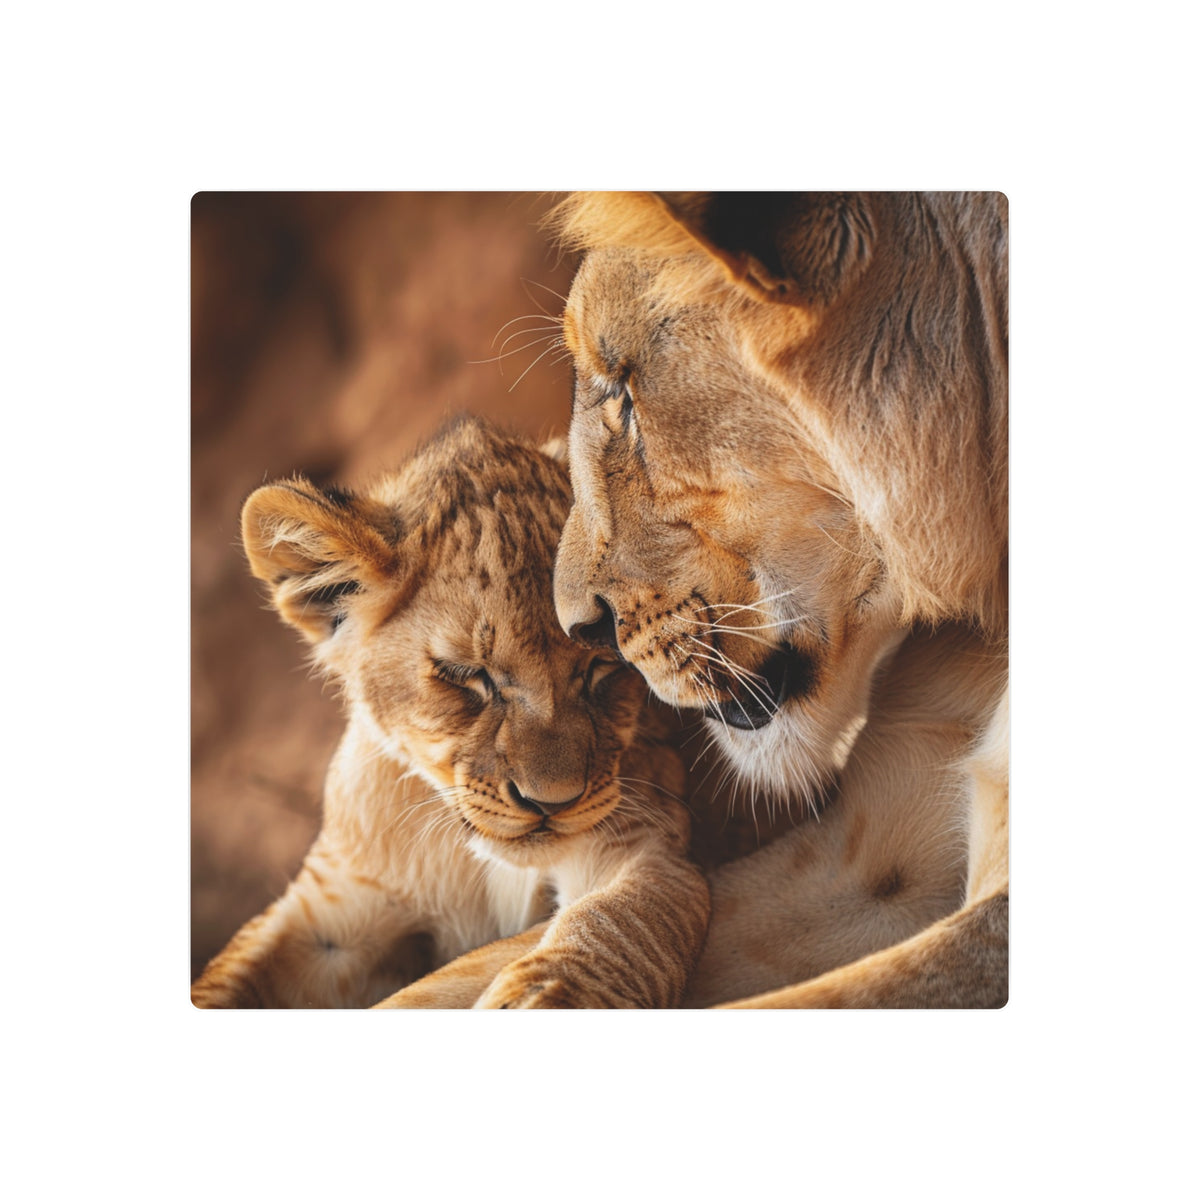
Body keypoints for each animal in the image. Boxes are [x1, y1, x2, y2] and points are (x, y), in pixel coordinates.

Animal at [190, 416, 710, 1009]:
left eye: (602, 664)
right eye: (466, 675)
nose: (551, 803)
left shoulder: (650, 852)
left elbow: (614, 924)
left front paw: (538, 1001)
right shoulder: (326, 917)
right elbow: (226, 978)